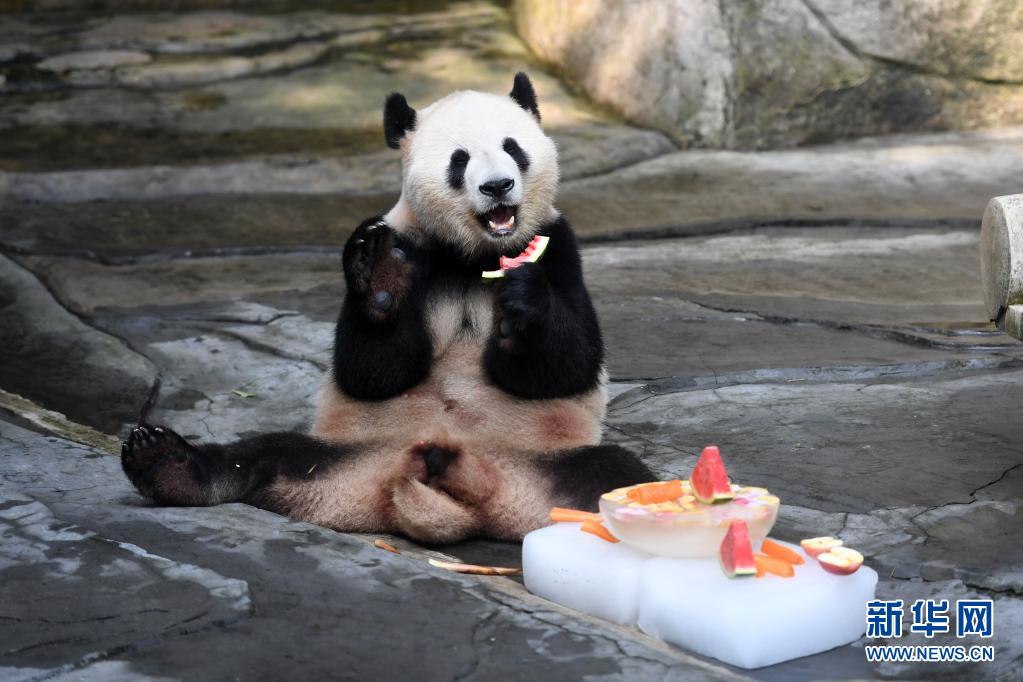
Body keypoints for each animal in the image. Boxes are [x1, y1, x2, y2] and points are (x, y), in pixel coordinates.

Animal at [119, 74, 650, 543]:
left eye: (513, 148)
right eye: (459, 159)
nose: (498, 186)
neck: (472, 255)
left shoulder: (558, 246)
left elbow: (568, 365)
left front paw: (523, 300)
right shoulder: (411, 243)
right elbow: (371, 371)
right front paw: (379, 278)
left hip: (544, 468)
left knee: (614, 474)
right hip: (338, 456)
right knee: (262, 455)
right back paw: (165, 463)